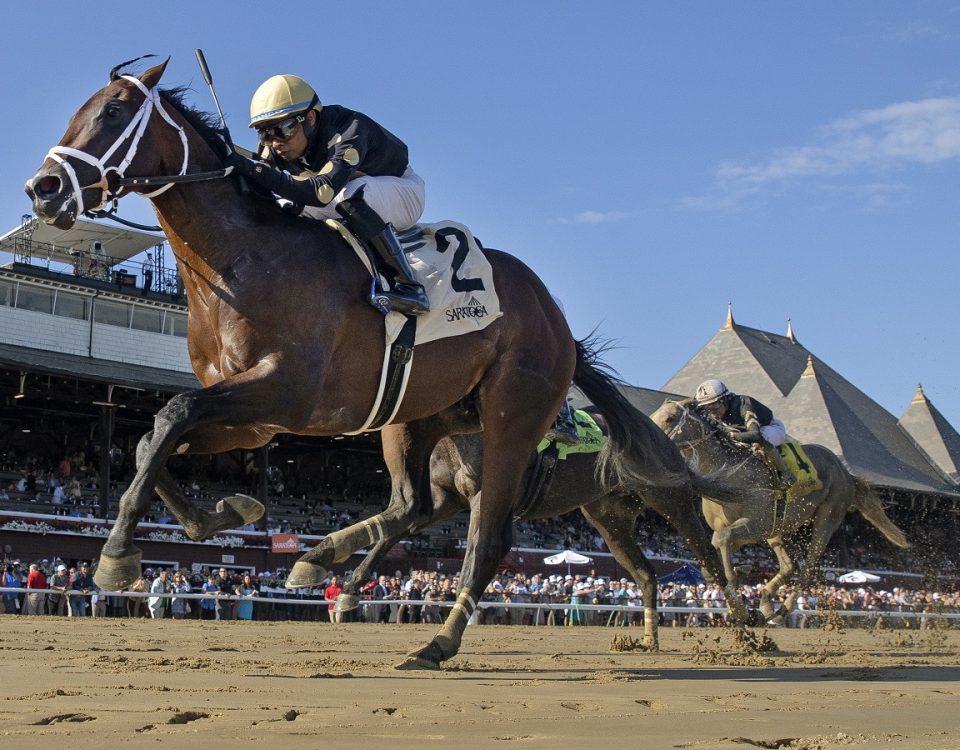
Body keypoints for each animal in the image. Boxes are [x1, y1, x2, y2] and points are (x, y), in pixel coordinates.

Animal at [648, 400, 912, 624]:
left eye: (670, 418)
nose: (652, 440)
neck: (730, 476)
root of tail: (845, 472)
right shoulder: (737, 528)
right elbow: (713, 554)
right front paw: (740, 578)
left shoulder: (757, 523)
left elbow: (722, 543)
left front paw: (740, 603)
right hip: (780, 526)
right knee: (789, 566)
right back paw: (766, 604)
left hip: (828, 514)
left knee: (807, 569)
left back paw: (782, 609)